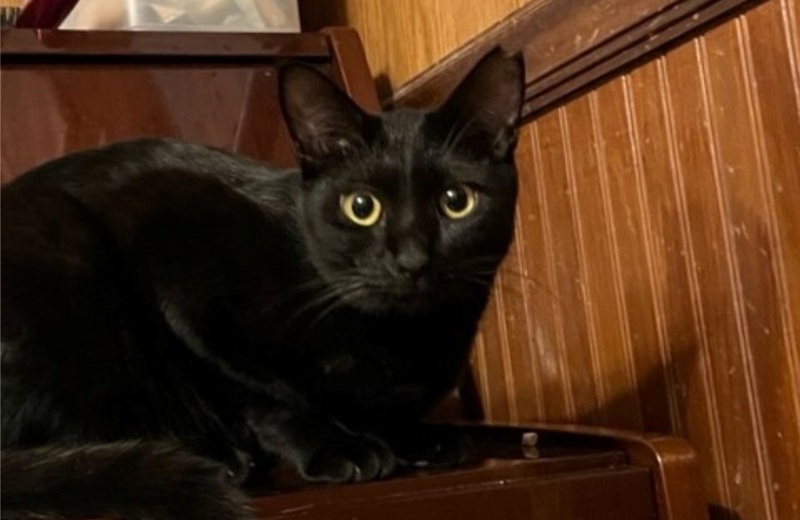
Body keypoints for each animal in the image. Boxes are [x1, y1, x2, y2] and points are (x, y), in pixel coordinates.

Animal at [0, 48, 523, 520]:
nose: (412, 260)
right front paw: (335, 443)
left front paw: (412, 434)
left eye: (457, 201)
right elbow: (263, 391)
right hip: (61, 241)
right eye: (361, 207)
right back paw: (217, 456)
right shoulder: (179, 280)